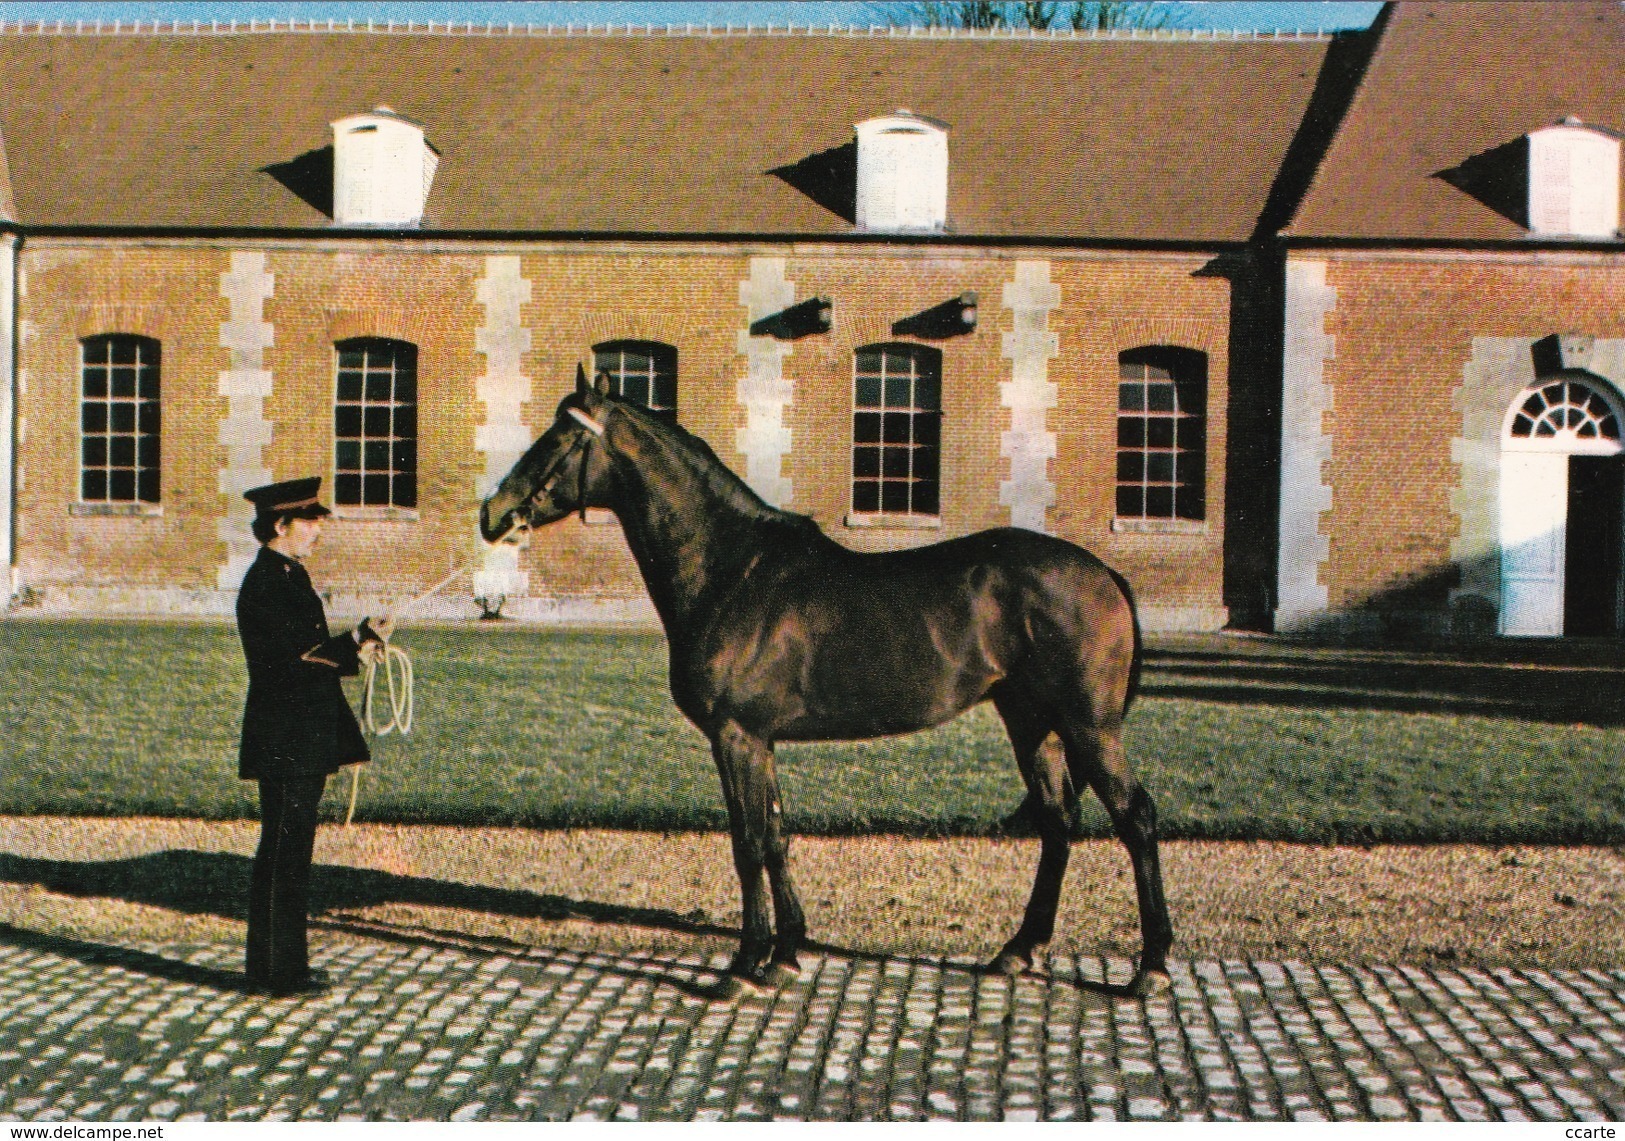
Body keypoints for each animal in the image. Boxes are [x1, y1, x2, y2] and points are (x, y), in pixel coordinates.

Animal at [474, 370, 1176, 994]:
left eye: (562, 438)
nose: (493, 512)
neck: (734, 570)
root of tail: (1105, 574)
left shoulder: (734, 736)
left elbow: (748, 842)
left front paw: (743, 965)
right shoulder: (759, 740)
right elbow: (778, 837)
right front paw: (786, 955)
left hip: (1088, 724)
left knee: (1136, 817)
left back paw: (1152, 967)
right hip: (1031, 720)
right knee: (1059, 821)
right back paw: (1020, 950)